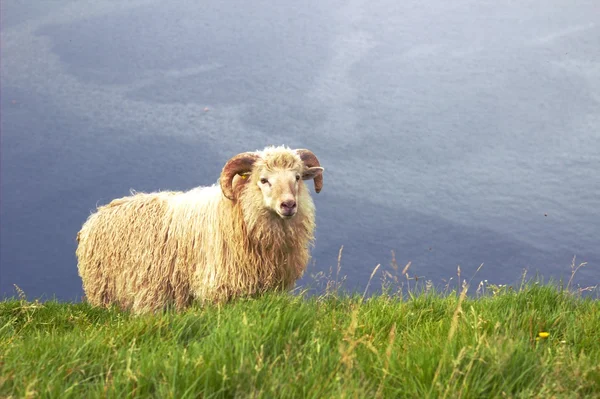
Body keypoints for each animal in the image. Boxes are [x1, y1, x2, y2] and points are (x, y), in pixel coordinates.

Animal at [77, 145, 326, 314]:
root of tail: (96, 215)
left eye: (297, 177)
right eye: (264, 180)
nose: (288, 205)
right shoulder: (217, 287)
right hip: (105, 293)